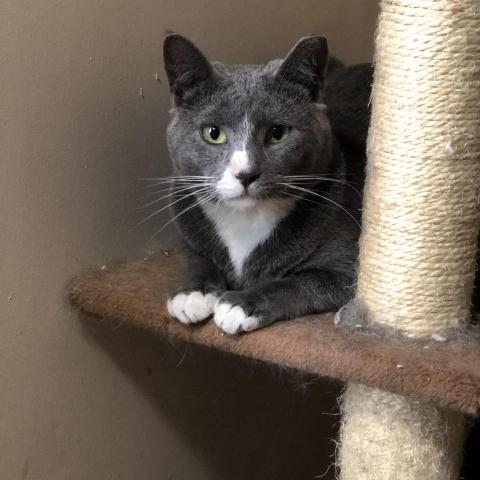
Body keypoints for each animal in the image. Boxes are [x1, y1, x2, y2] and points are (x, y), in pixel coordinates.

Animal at [161, 32, 372, 334]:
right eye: (213, 133)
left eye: (278, 132)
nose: (246, 173)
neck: (245, 219)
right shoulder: (187, 225)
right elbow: (197, 258)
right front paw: (192, 294)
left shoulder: (348, 269)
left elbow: (302, 281)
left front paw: (239, 304)